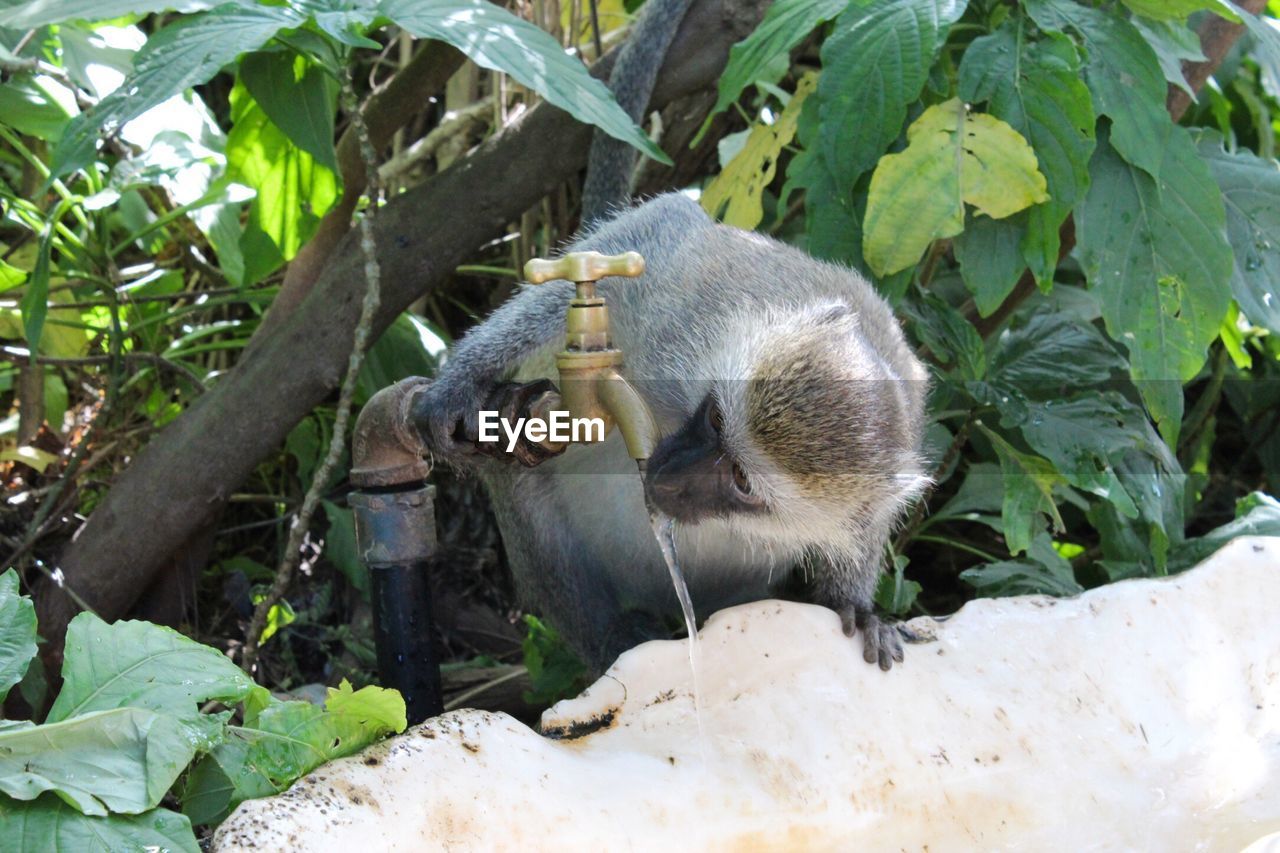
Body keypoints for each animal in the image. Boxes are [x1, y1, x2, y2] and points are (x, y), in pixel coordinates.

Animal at [414, 0, 926, 671]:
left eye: (742, 481)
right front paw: (460, 381)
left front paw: (858, 606)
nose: (666, 475)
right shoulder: (688, 299)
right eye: (713, 419)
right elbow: (648, 235)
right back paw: (611, 643)